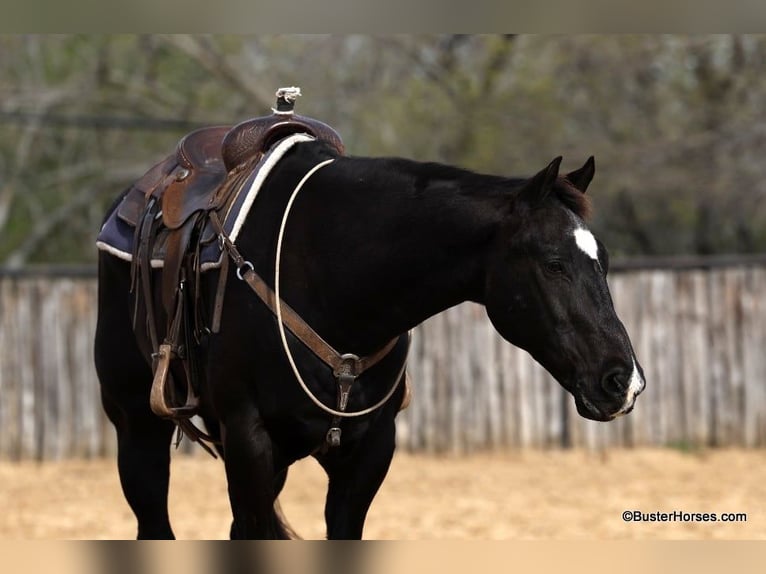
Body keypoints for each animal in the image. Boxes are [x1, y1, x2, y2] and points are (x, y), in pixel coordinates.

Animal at [96, 138, 648, 540]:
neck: (329, 276)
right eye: (554, 264)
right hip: (138, 429)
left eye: (601, 258)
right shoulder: (249, 439)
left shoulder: (368, 453)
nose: (623, 381)